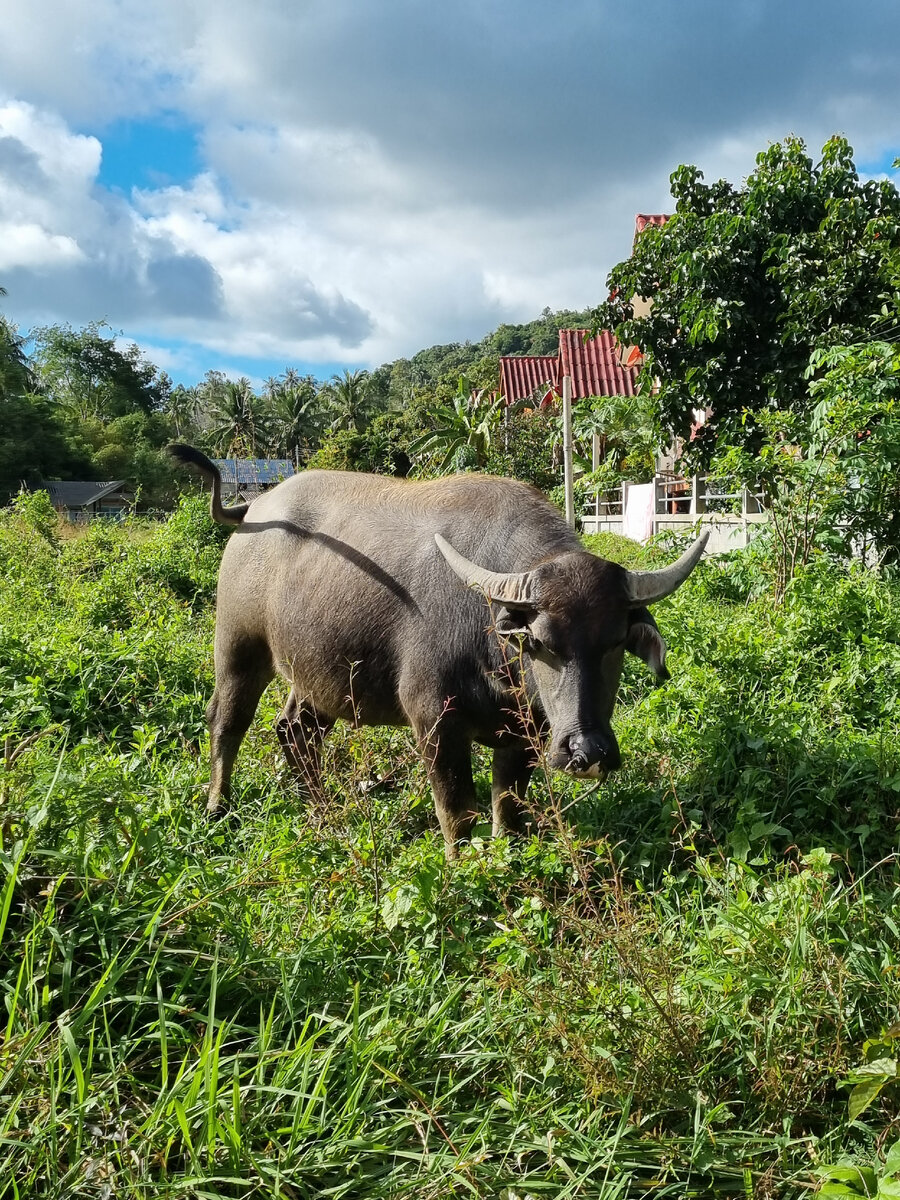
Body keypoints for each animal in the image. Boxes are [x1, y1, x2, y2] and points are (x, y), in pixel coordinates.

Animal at [168, 446, 705, 859]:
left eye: (615, 643)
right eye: (539, 642)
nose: (587, 752)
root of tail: (254, 510)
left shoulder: (527, 734)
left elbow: (507, 807)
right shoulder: (434, 722)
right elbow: (456, 810)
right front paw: (459, 868)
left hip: (318, 672)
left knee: (295, 731)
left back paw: (319, 808)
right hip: (238, 648)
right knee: (227, 721)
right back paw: (218, 807)